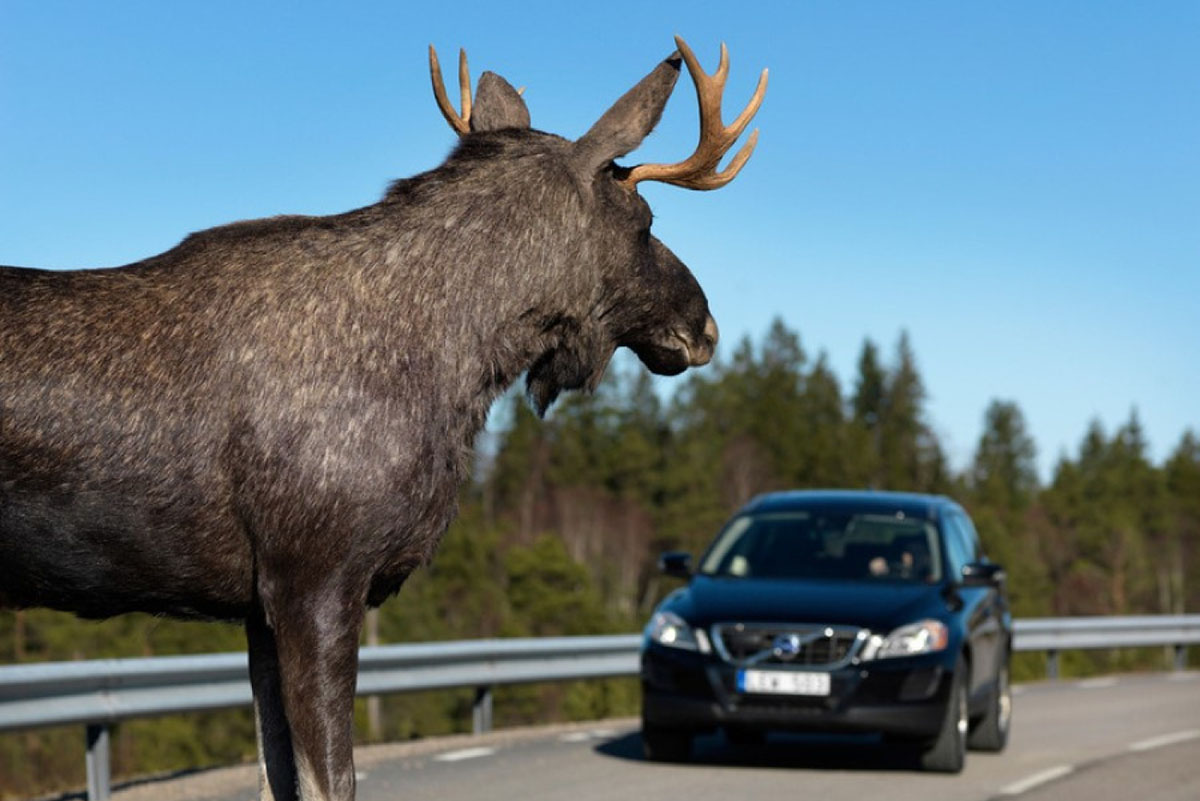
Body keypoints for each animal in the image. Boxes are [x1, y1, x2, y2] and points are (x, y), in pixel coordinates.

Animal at [0, 38, 763, 801]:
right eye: (646, 223)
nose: (705, 325)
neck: (455, 367)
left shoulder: (256, 605)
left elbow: (279, 778)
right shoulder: (315, 578)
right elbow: (330, 781)